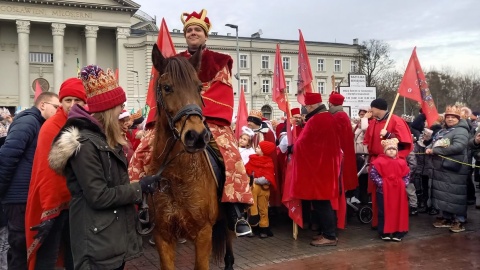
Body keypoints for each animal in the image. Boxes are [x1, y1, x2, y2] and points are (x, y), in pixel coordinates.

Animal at [147, 44, 235, 270]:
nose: (196, 136)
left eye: (199, 88)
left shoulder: (203, 234)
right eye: (167, 87)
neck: (176, 176)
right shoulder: (163, 235)